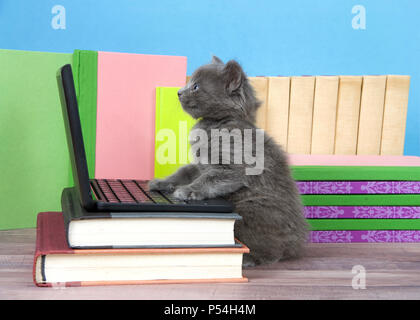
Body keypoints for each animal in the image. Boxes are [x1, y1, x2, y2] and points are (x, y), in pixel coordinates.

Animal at [149, 56, 306, 266]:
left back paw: (247, 258)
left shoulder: (230, 167)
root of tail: (297, 241)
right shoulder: (199, 165)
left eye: (196, 86)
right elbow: (183, 172)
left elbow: (208, 179)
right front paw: (161, 182)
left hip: (250, 209)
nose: (179, 92)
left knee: (270, 251)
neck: (217, 123)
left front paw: (187, 191)